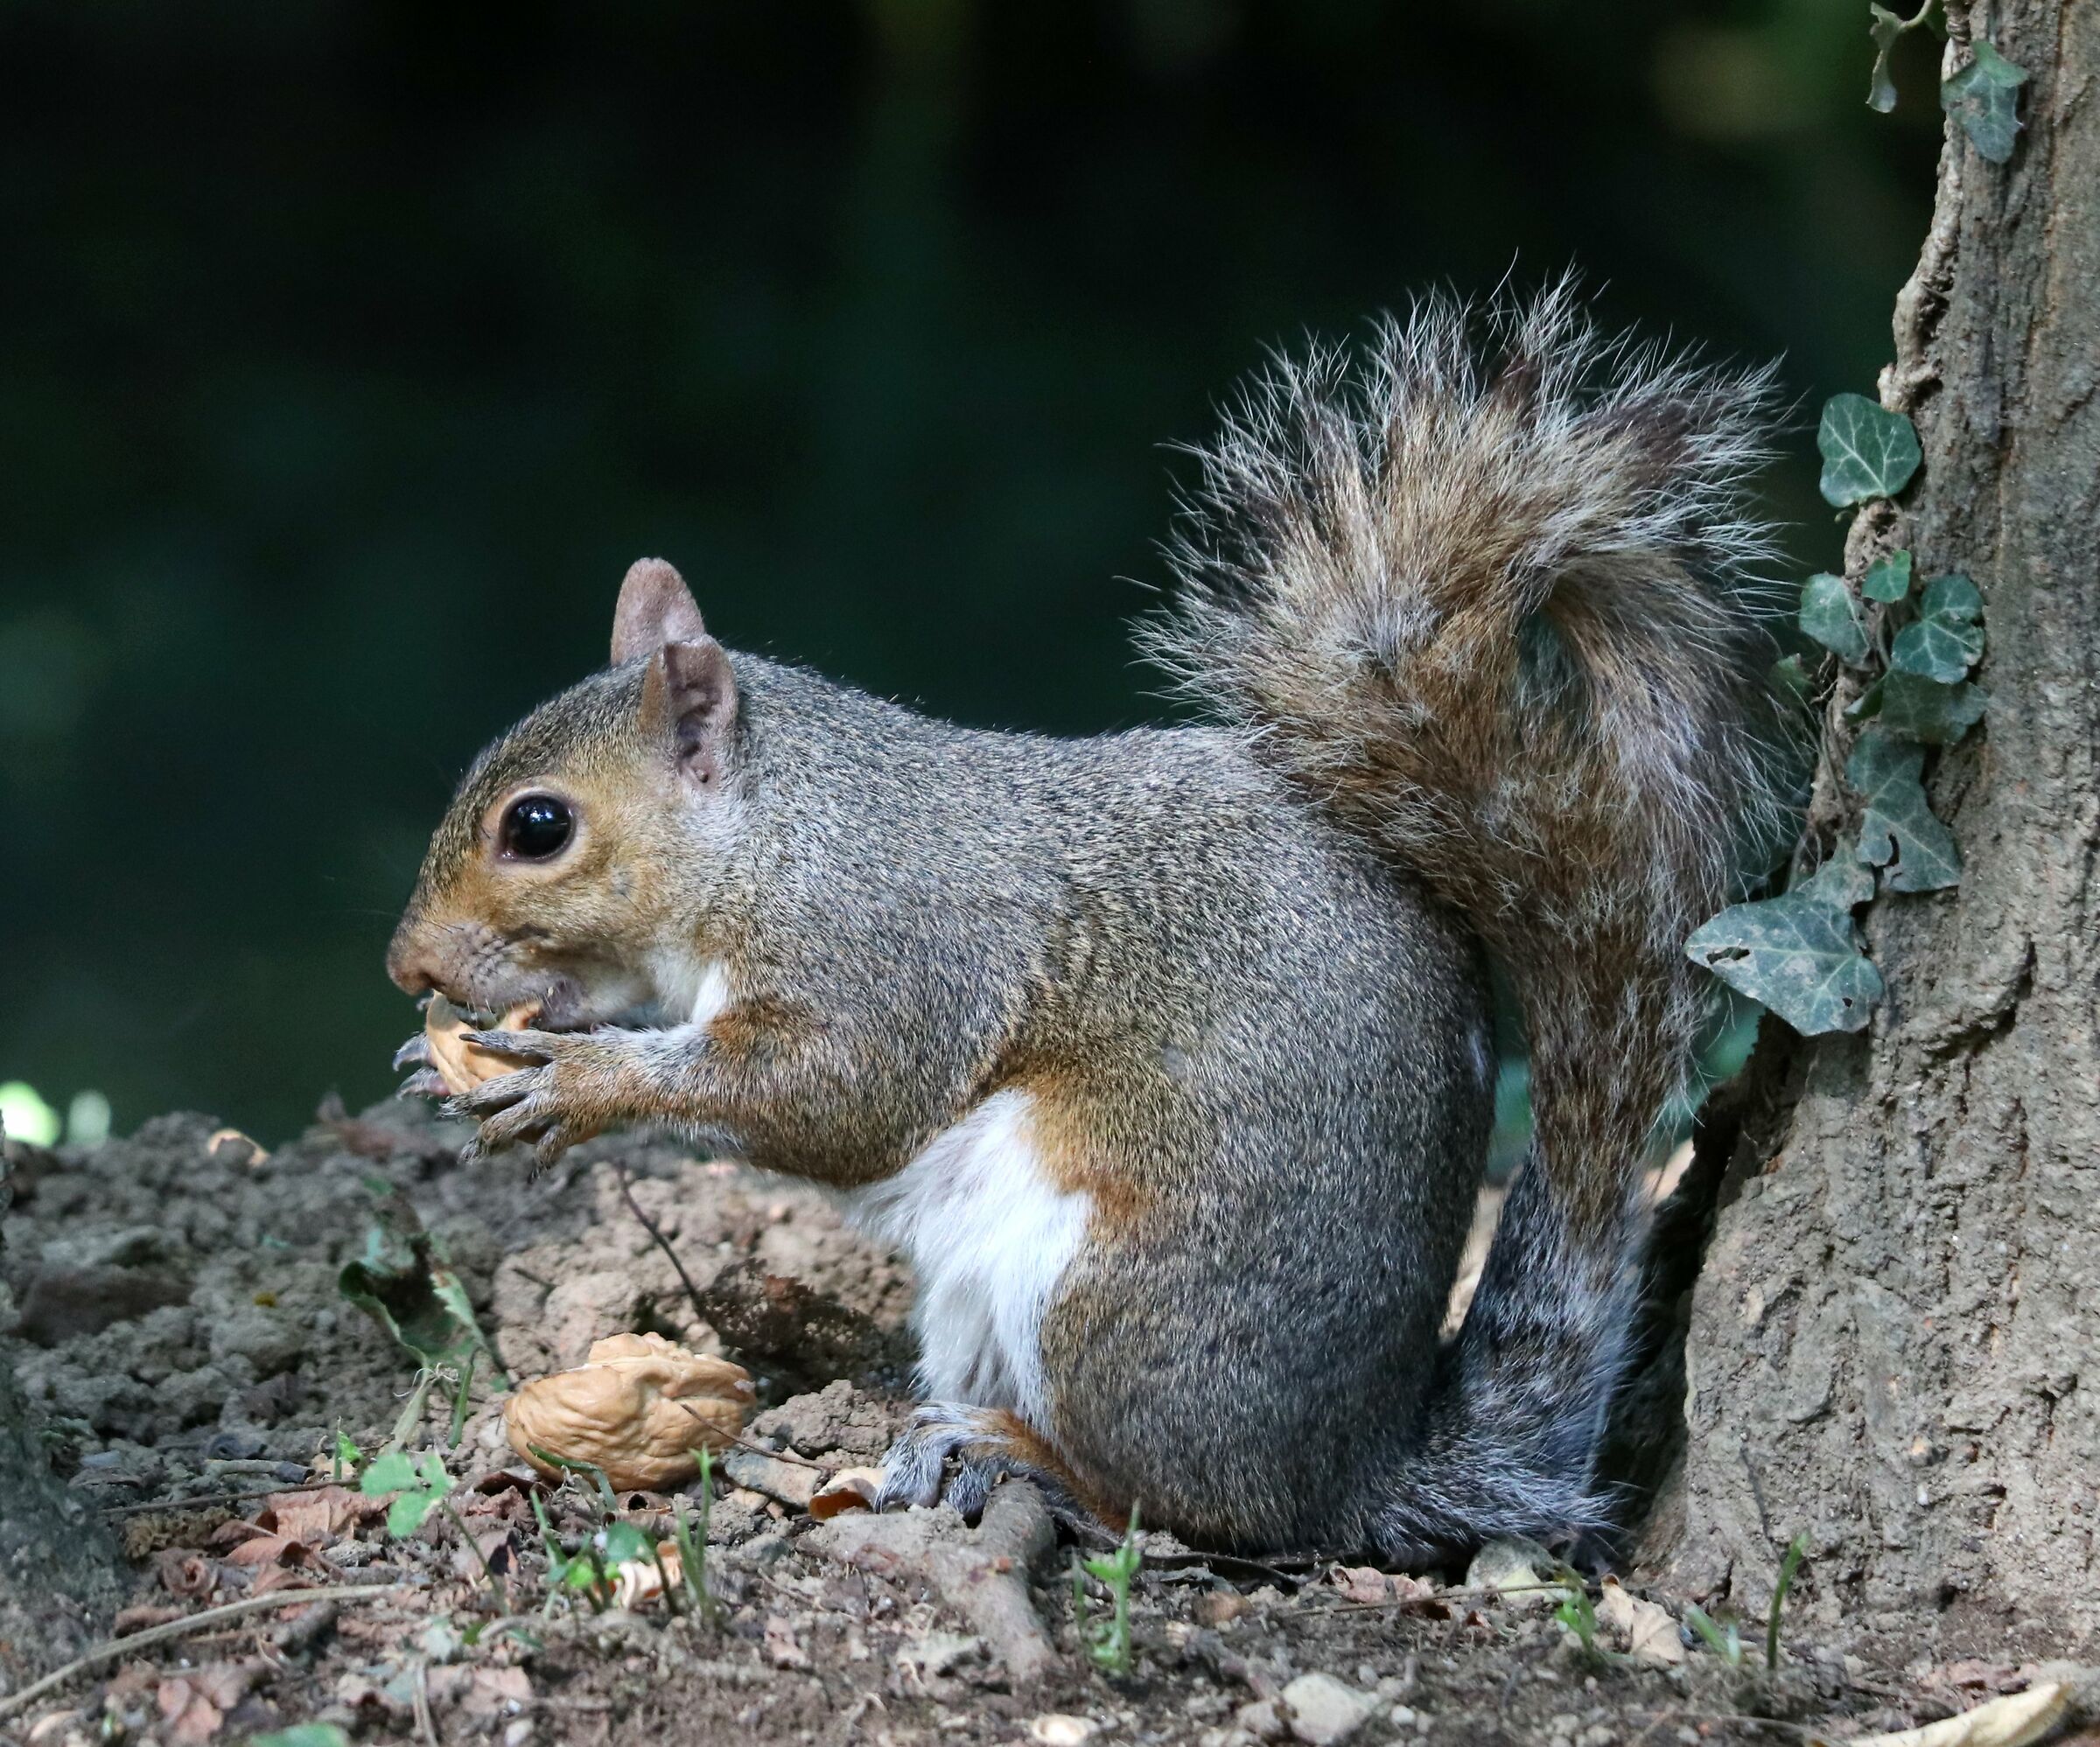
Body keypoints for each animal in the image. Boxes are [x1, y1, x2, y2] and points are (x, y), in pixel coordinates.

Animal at [387, 283, 1789, 1560]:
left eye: (538, 827)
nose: (406, 963)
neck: (777, 837)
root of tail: (1356, 1467)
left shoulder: (887, 950)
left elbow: (830, 1092)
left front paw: (578, 1078)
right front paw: (453, 1050)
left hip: (1110, 1284)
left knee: (1194, 1507)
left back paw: (1025, 1458)